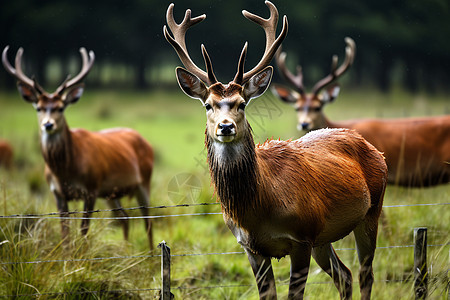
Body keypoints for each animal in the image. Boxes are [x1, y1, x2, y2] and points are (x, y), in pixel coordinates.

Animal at [2, 46, 155, 248]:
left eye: (60, 107)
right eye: (38, 108)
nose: (48, 124)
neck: (65, 171)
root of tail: (145, 141)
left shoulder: (91, 188)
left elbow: (83, 229)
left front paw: (81, 253)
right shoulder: (57, 193)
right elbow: (65, 231)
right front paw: (67, 253)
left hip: (144, 181)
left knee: (148, 221)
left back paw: (151, 253)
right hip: (111, 193)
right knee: (125, 218)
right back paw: (125, 250)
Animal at [163, 1, 388, 298]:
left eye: (242, 103)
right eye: (208, 104)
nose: (225, 126)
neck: (260, 208)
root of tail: (374, 149)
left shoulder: (302, 237)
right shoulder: (251, 247)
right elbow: (267, 293)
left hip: (371, 211)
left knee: (365, 274)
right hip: (323, 237)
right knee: (345, 275)